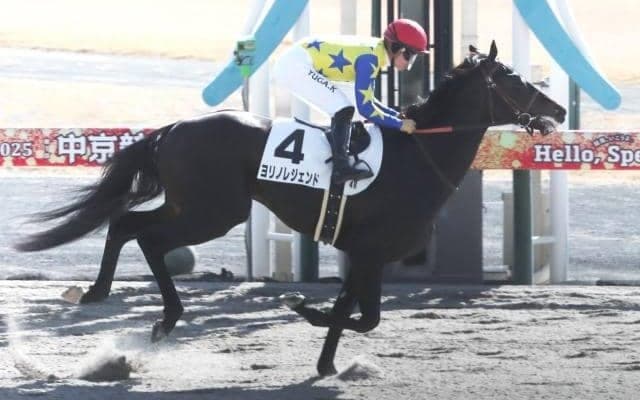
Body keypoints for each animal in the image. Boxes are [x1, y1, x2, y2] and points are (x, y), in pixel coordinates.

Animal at [16, 42, 565, 376]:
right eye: (513, 78)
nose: (558, 110)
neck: (417, 156)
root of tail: (172, 129)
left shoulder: (370, 254)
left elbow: (365, 316)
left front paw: (320, 343)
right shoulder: (368, 250)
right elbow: (352, 314)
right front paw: (311, 328)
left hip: (194, 207)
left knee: (128, 223)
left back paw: (130, 305)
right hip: (214, 212)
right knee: (143, 233)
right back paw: (138, 306)